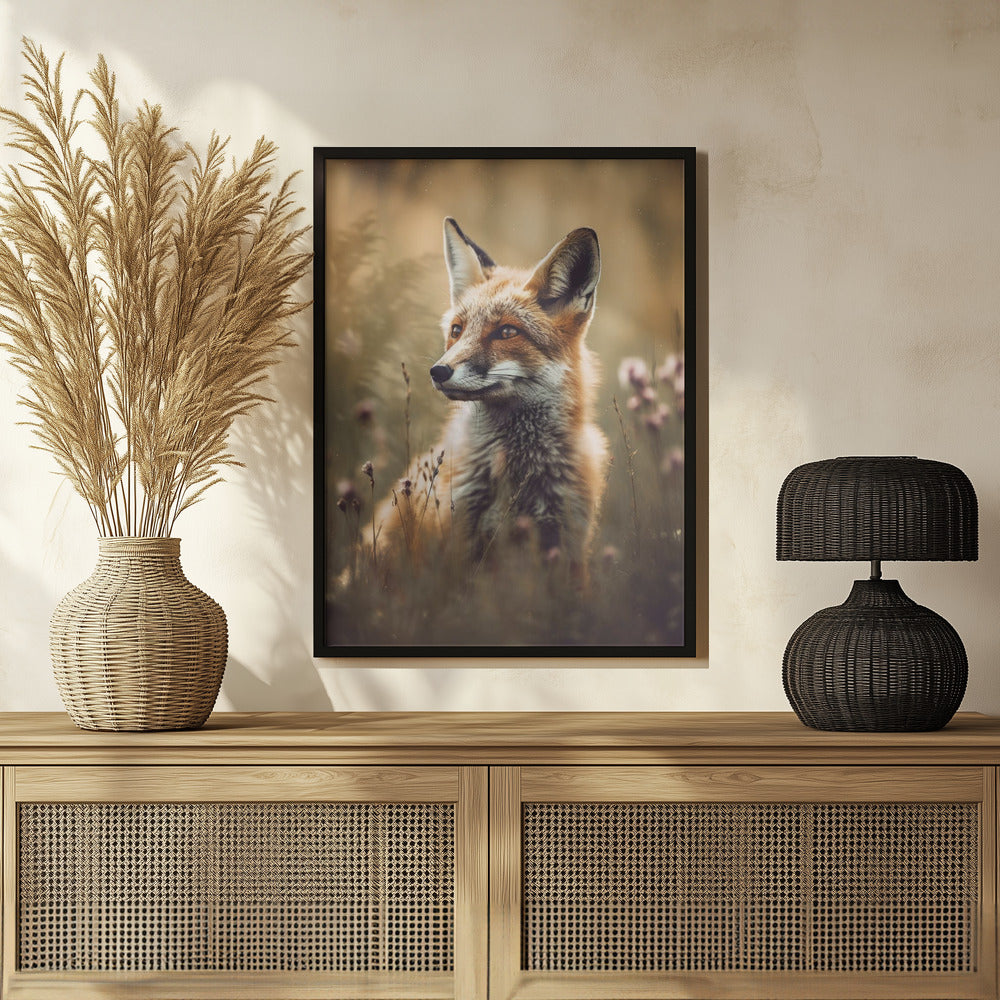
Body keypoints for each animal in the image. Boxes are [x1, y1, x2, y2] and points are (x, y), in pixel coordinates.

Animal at [372, 217, 609, 580]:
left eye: (507, 332)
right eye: (457, 330)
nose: (438, 371)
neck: (518, 473)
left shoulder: (567, 544)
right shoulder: (458, 542)